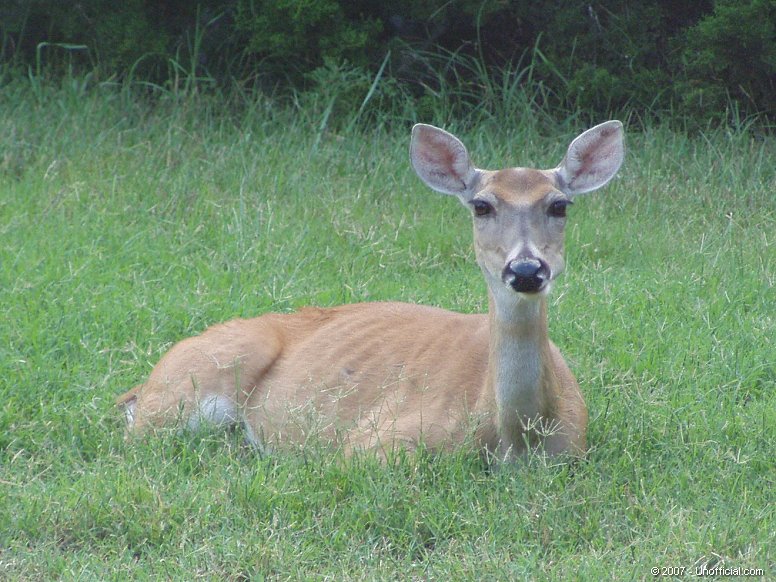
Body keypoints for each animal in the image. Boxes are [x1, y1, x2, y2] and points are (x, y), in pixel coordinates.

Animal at [115, 121, 624, 464]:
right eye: (481, 205)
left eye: (560, 205)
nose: (526, 269)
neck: (516, 439)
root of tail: (146, 382)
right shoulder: (375, 440)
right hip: (192, 382)